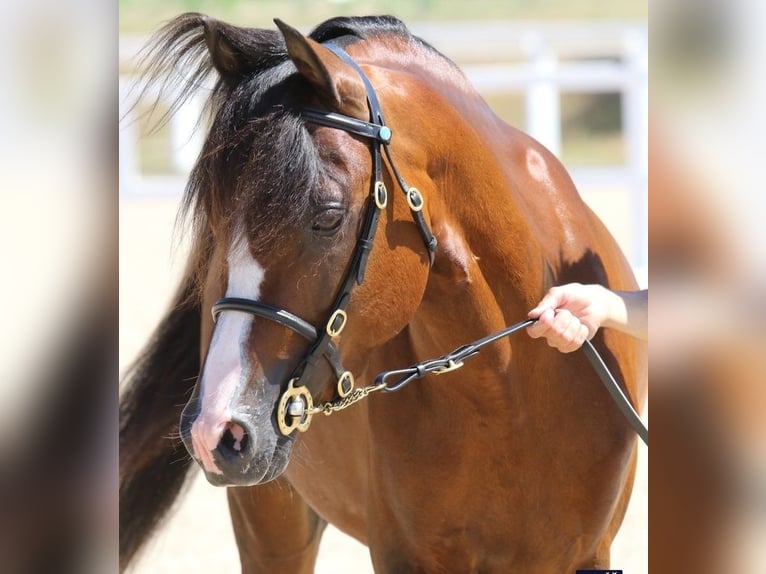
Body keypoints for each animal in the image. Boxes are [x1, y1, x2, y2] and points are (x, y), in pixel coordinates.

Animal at [120, 14, 648, 574]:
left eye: (327, 216)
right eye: (218, 227)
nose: (216, 429)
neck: (511, 391)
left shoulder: (587, 553)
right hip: (269, 520)